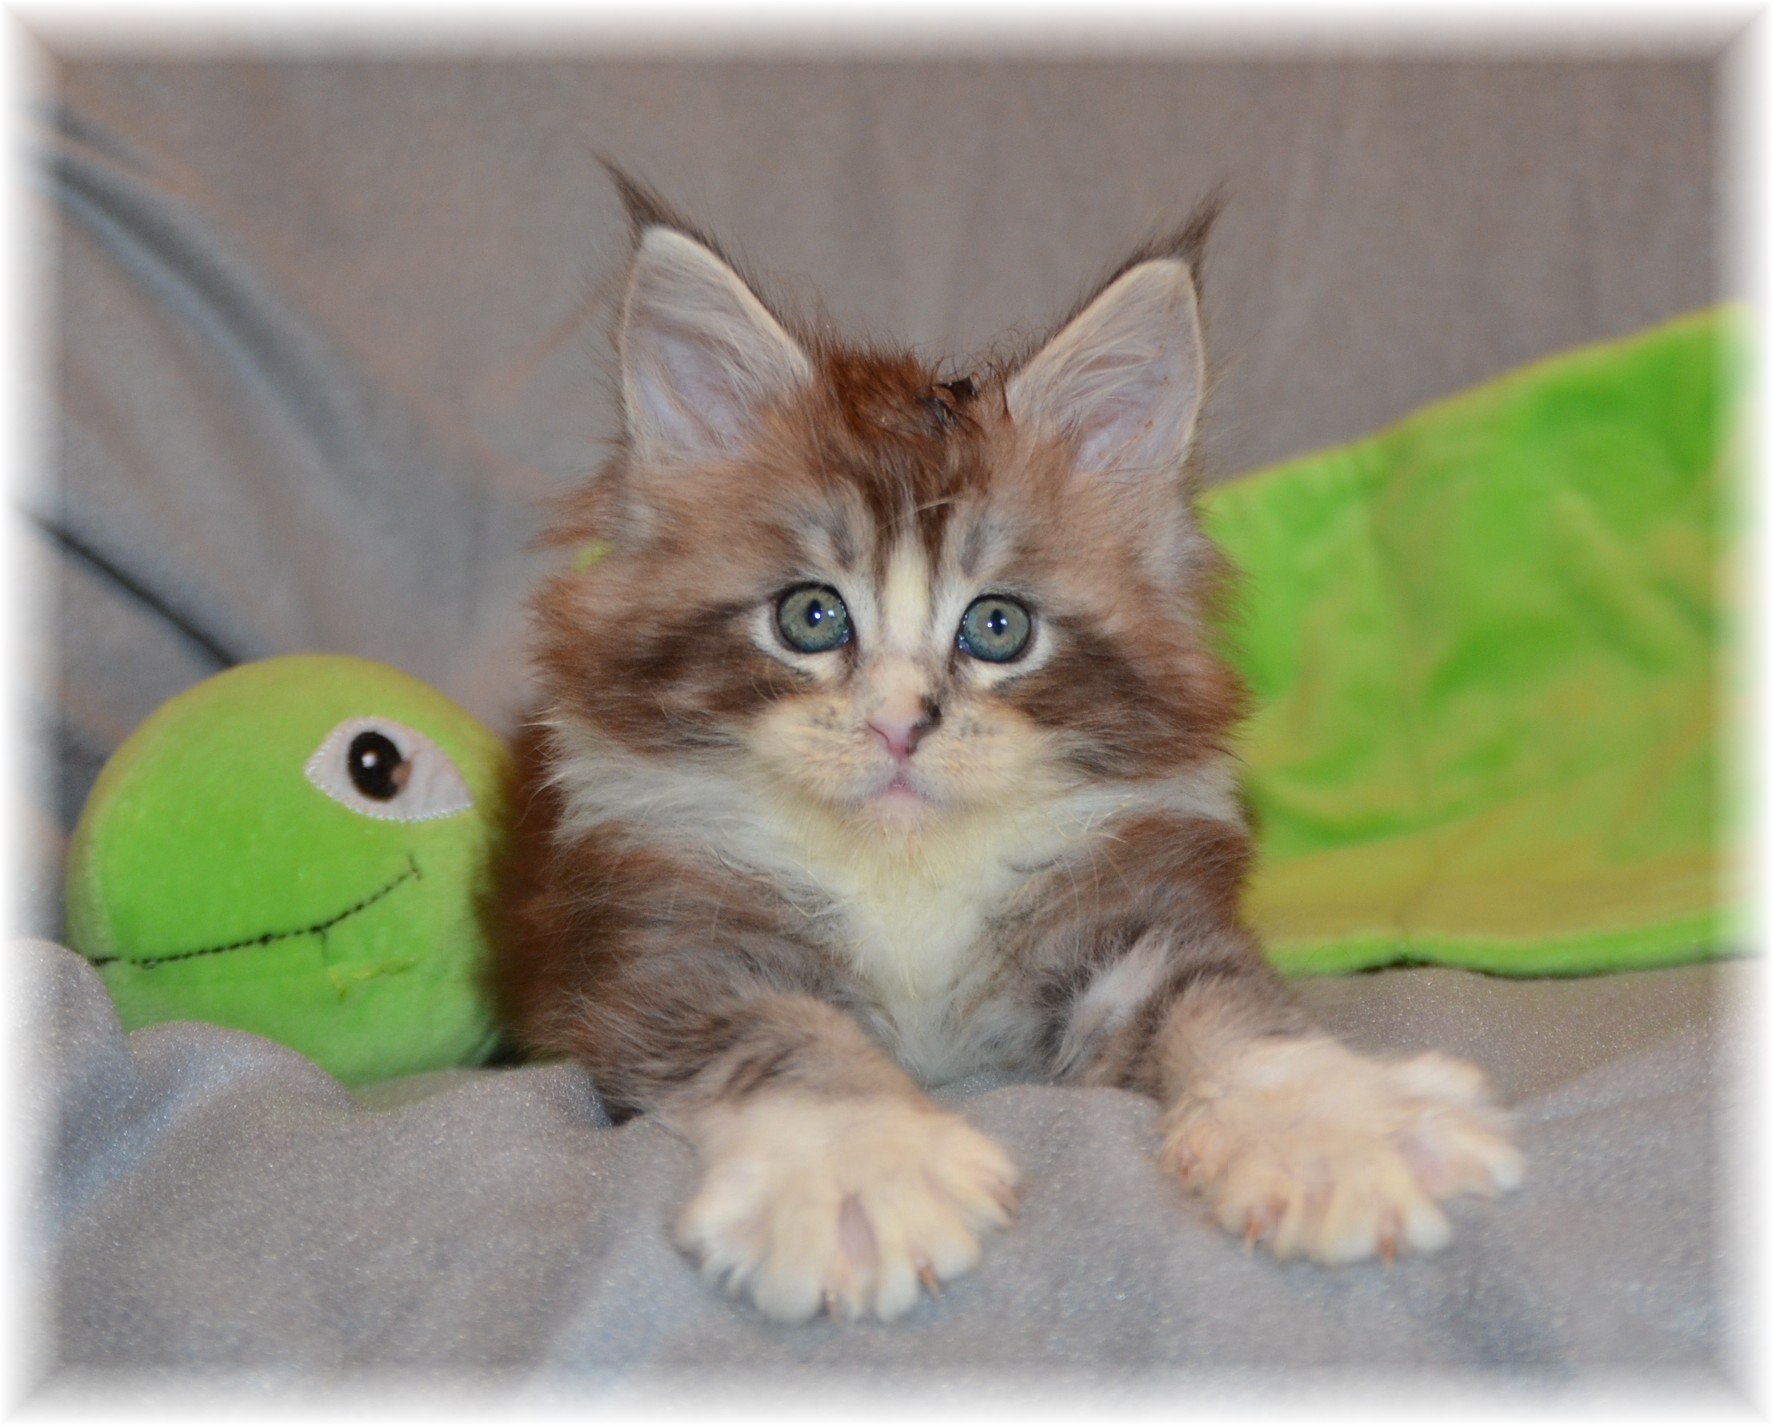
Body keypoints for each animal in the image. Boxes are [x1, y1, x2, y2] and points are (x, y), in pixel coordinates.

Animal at [489, 171, 1523, 1324]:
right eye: (810, 617)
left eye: (996, 627)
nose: (901, 723)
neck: (904, 875)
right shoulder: (664, 952)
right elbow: (789, 1041)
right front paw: (860, 1174)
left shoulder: (1139, 922)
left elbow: (1233, 1013)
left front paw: (1339, 1130)